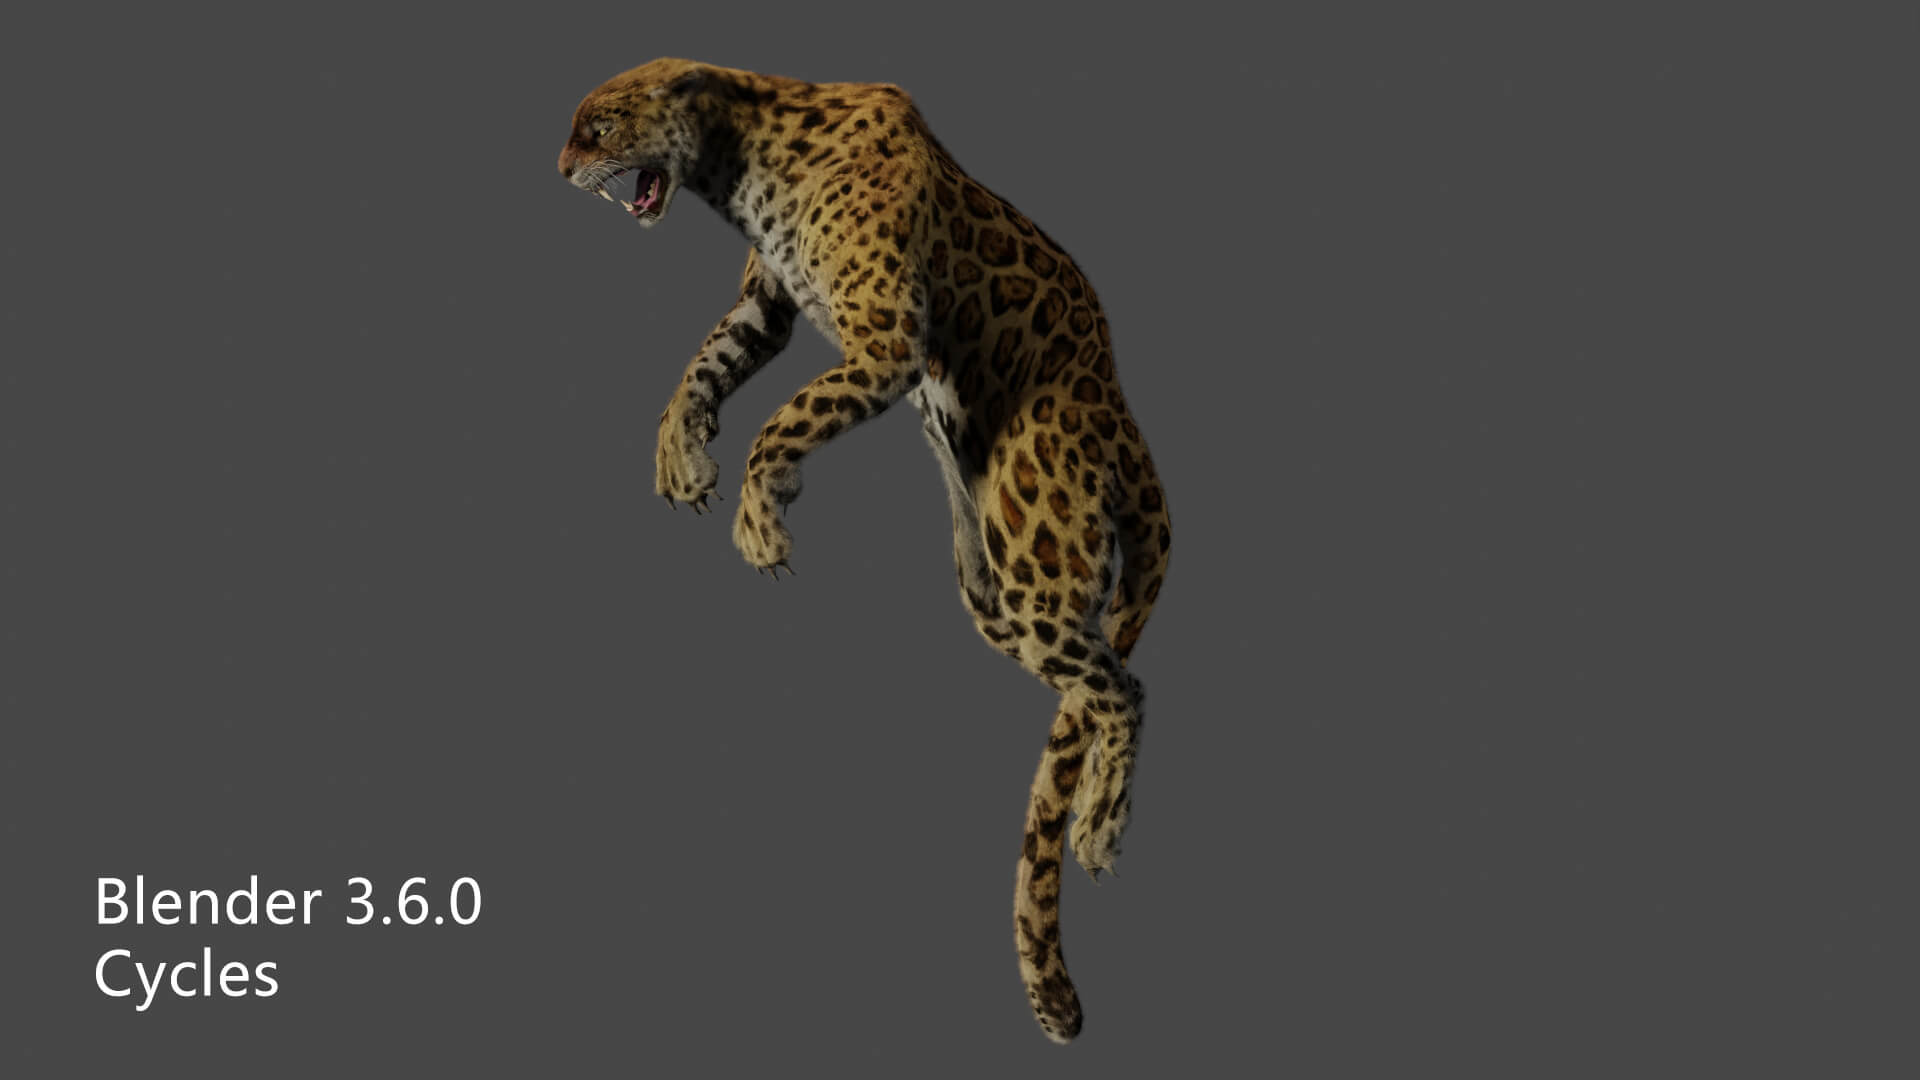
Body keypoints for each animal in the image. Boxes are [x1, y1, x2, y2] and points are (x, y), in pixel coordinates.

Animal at [557, 59, 1171, 1044]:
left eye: (600, 128)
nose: (562, 168)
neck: (734, 160)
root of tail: (1122, 418)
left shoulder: (885, 344)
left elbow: (787, 417)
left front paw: (761, 517)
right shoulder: (763, 305)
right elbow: (707, 364)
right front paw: (682, 455)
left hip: (1038, 560)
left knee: (1124, 687)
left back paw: (1100, 828)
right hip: (991, 592)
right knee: (1088, 683)